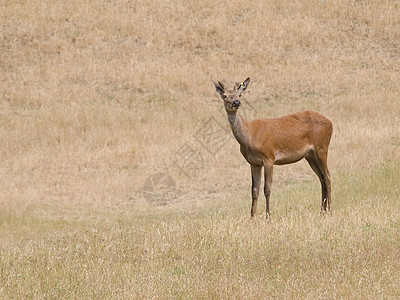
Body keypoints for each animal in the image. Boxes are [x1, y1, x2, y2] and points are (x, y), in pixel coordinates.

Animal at [214, 77, 332, 218]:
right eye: (225, 96)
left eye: (239, 95)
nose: (236, 102)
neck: (250, 136)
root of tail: (331, 122)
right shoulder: (254, 163)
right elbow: (254, 190)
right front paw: (252, 217)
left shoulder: (269, 157)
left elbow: (267, 189)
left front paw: (268, 216)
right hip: (310, 155)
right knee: (321, 177)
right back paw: (322, 210)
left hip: (322, 146)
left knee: (327, 176)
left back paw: (330, 210)